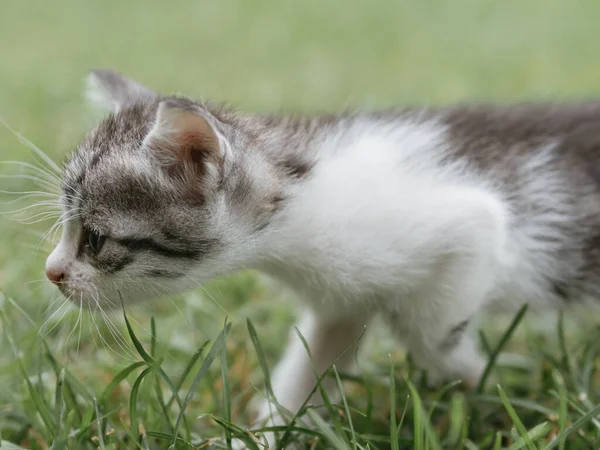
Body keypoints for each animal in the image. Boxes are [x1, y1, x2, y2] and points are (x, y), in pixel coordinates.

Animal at [44, 69, 600, 442]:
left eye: (95, 239)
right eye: (68, 230)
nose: (52, 272)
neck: (300, 197)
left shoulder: (471, 225)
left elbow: (428, 335)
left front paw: (472, 375)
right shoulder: (342, 300)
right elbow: (309, 369)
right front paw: (260, 434)